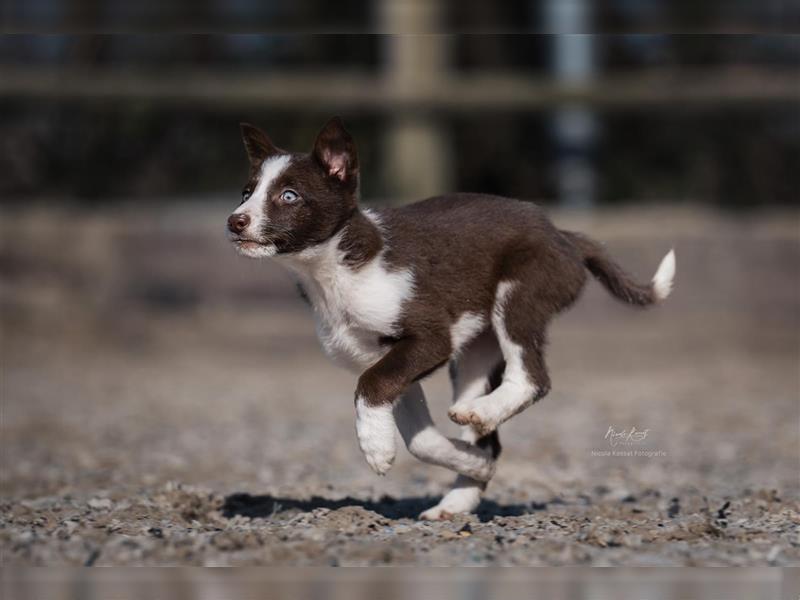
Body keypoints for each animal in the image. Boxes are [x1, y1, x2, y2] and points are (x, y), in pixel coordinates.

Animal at [227, 117, 676, 520]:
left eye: (289, 196)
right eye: (247, 192)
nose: (234, 221)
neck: (332, 270)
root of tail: (563, 235)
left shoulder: (428, 339)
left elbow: (369, 386)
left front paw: (374, 447)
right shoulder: (395, 362)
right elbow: (419, 439)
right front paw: (470, 463)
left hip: (519, 296)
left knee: (532, 378)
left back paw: (485, 414)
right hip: (475, 352)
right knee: (488, 436)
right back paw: (460, 495)